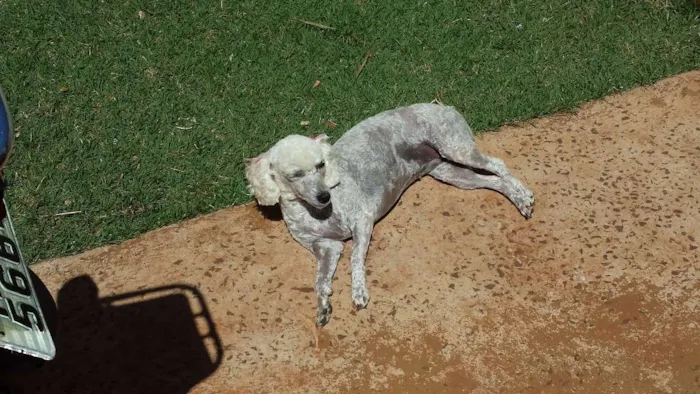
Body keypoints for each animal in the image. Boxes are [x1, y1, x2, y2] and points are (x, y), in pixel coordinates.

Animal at [243, 102, 532, 326]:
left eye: (321, 165)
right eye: (295, 175)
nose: (325, 196)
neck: (313, 212)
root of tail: (444, 106)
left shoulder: (362, 221)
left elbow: (355, 259)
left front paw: (359, 291)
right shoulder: (326, 246)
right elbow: (320, 280)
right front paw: (323, 304)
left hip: (457, 149)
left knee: (499, 165)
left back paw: (523, 195)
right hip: (451, 173)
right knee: (492, 182)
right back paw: (516, 197)